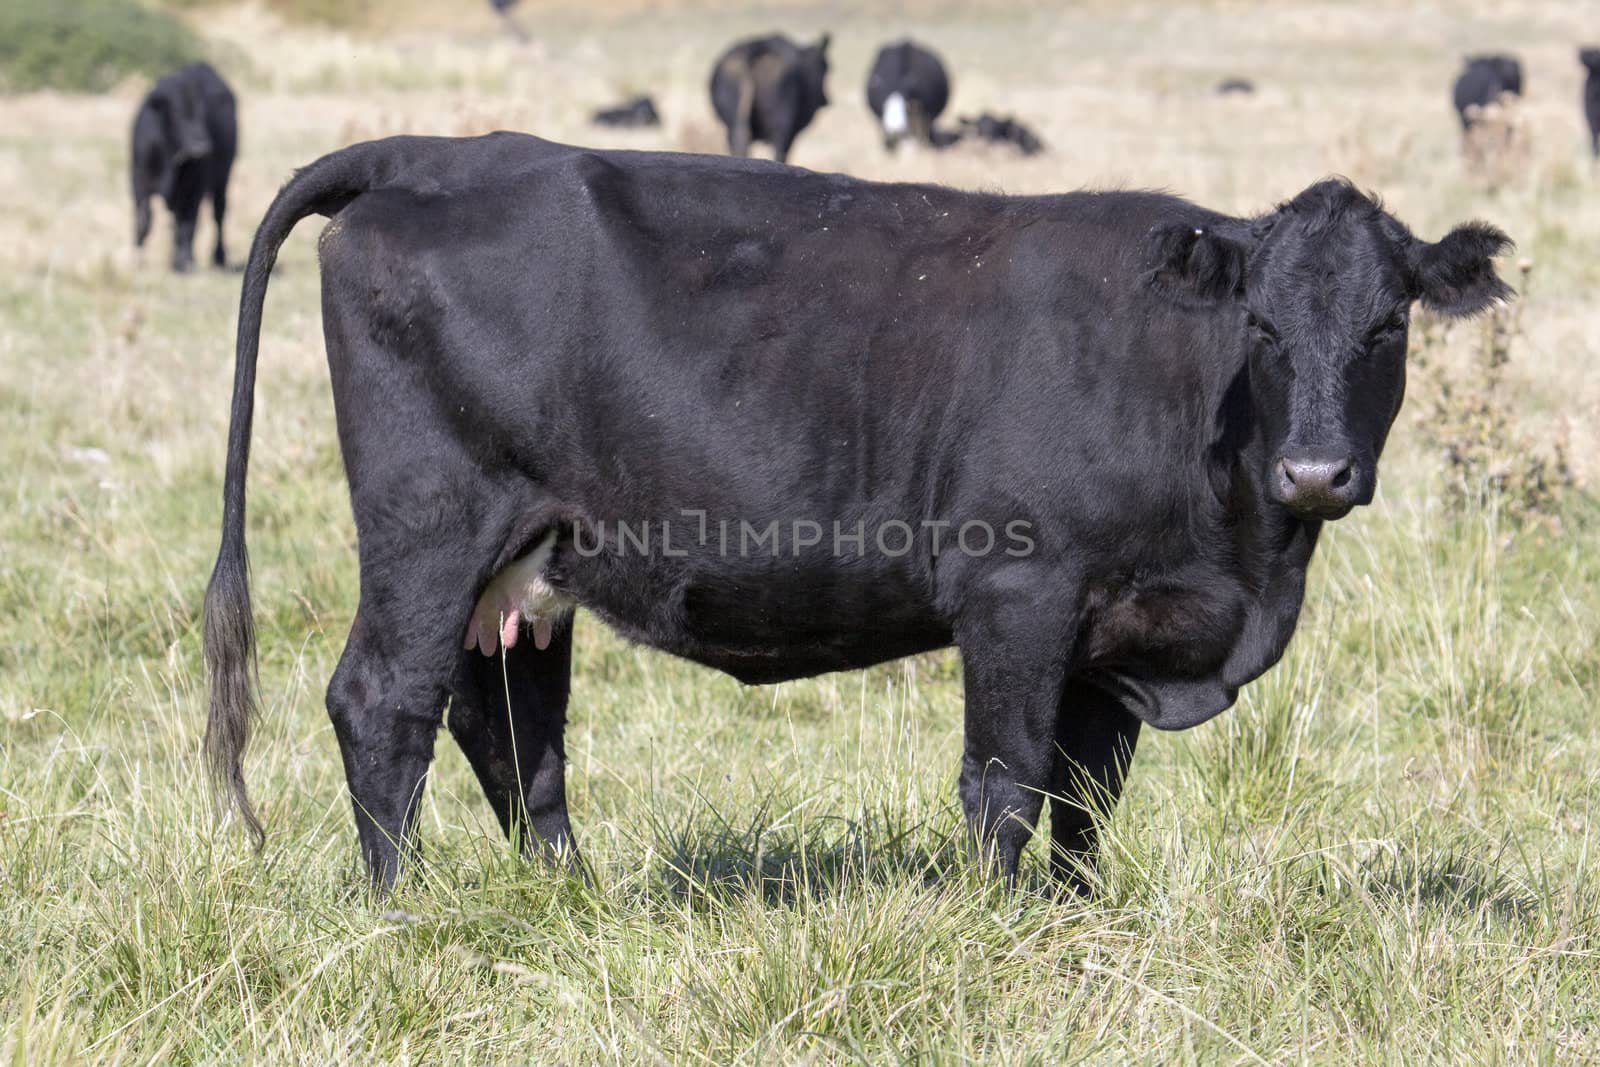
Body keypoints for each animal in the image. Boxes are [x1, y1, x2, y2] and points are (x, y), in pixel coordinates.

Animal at [129, 61, 235, 275]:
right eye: (177, 112)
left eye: (204, 113)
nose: (202, 146)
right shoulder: (139, 181)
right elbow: (144, 220)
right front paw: (138, 259)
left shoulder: (193, 189)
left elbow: (188, 224)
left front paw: (183, 262)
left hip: (223, 177)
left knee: (217, 214)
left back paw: (218, 257)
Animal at [716, 32, 838, 163]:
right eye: (825, 67)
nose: (826, 100)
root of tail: (758, 50)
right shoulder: (791, 133)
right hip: (780, 126)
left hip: (735, 124)